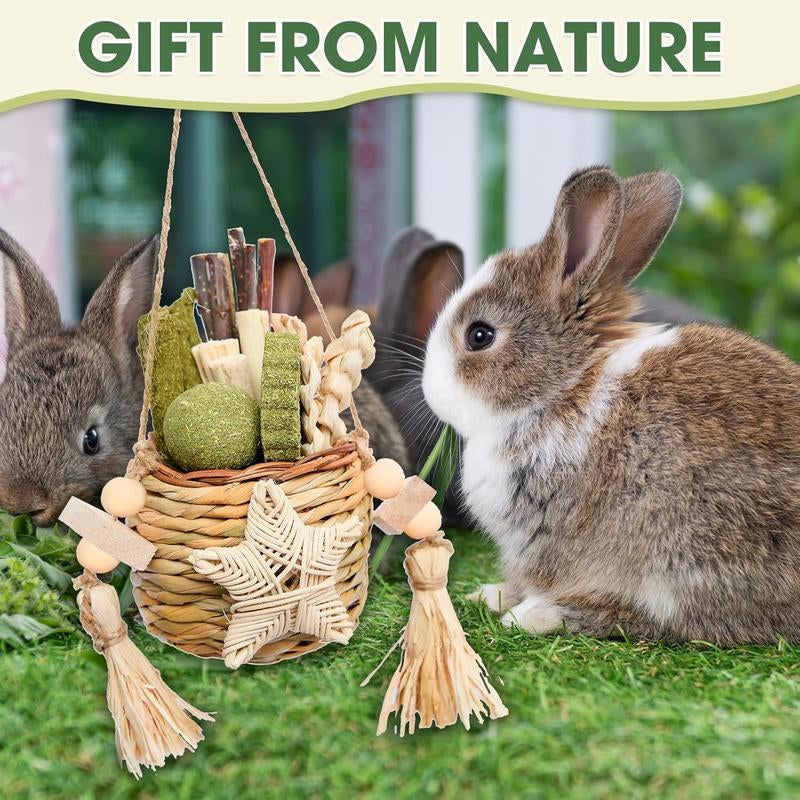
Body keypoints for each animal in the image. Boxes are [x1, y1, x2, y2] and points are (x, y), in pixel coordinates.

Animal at [422, 165, 800, 646]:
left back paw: (539, 616)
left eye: (480, 335)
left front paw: (512, 606)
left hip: (687, 556)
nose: (429, 391)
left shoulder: (543, 535)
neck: (563, 389)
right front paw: (488, 594)